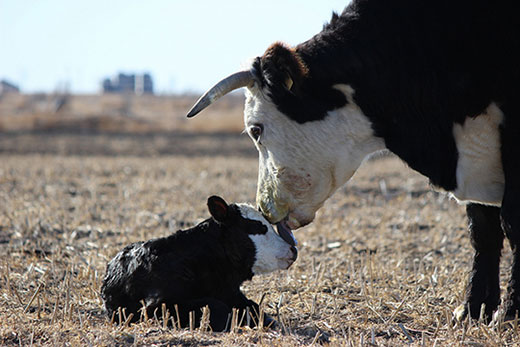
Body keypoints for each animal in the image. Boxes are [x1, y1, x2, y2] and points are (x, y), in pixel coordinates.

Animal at [100, 196, 296, 332]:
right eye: (259, 227)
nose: (293, 249)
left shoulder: (232, 293)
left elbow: (255, 309)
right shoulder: (156, 305)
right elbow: (216, 307)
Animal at [187, 0, 520, 322]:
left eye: (255, 129)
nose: (265, 207)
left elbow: (510, 221)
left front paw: (510, 313)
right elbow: (483, 232)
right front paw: (474, 309)